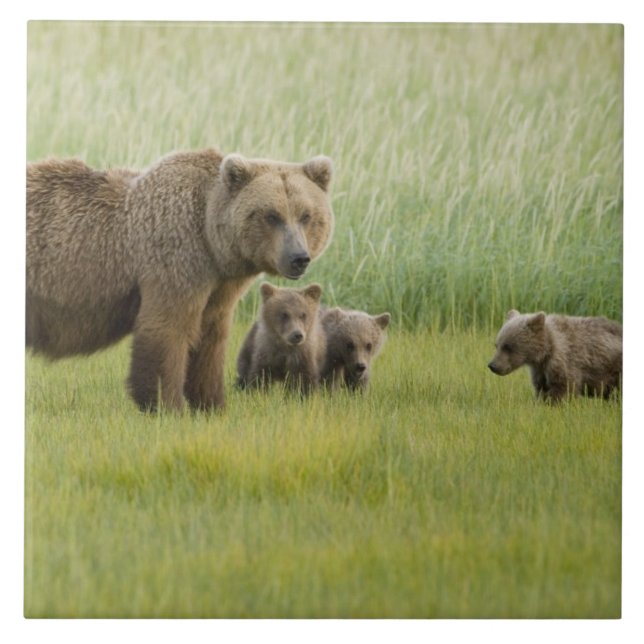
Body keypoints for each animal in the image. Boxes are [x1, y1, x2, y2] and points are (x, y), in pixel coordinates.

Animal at [26, 148, 335, 411]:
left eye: (307, 215)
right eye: (271, 215)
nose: (298, 257)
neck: (211, 241)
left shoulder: (219, 285)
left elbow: (210, 337)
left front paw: (211, 404)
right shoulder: (176, 259)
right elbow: (168, 329)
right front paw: (166, 406)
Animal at [487, 309, 622, 402]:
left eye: (508, 347)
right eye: (497, 345)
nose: (492, 365)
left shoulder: (565, 363)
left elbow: (562, 388)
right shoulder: (540, 370)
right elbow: (541, 388)